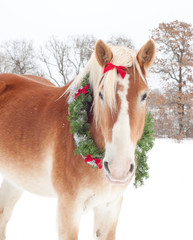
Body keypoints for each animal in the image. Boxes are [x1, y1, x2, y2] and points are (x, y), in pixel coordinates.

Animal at [0, 38, 155, 239]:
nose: (118, 169)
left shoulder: (110, 208)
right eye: (101, 94)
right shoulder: (69, 208)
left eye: (144, 95)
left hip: (15, 180)